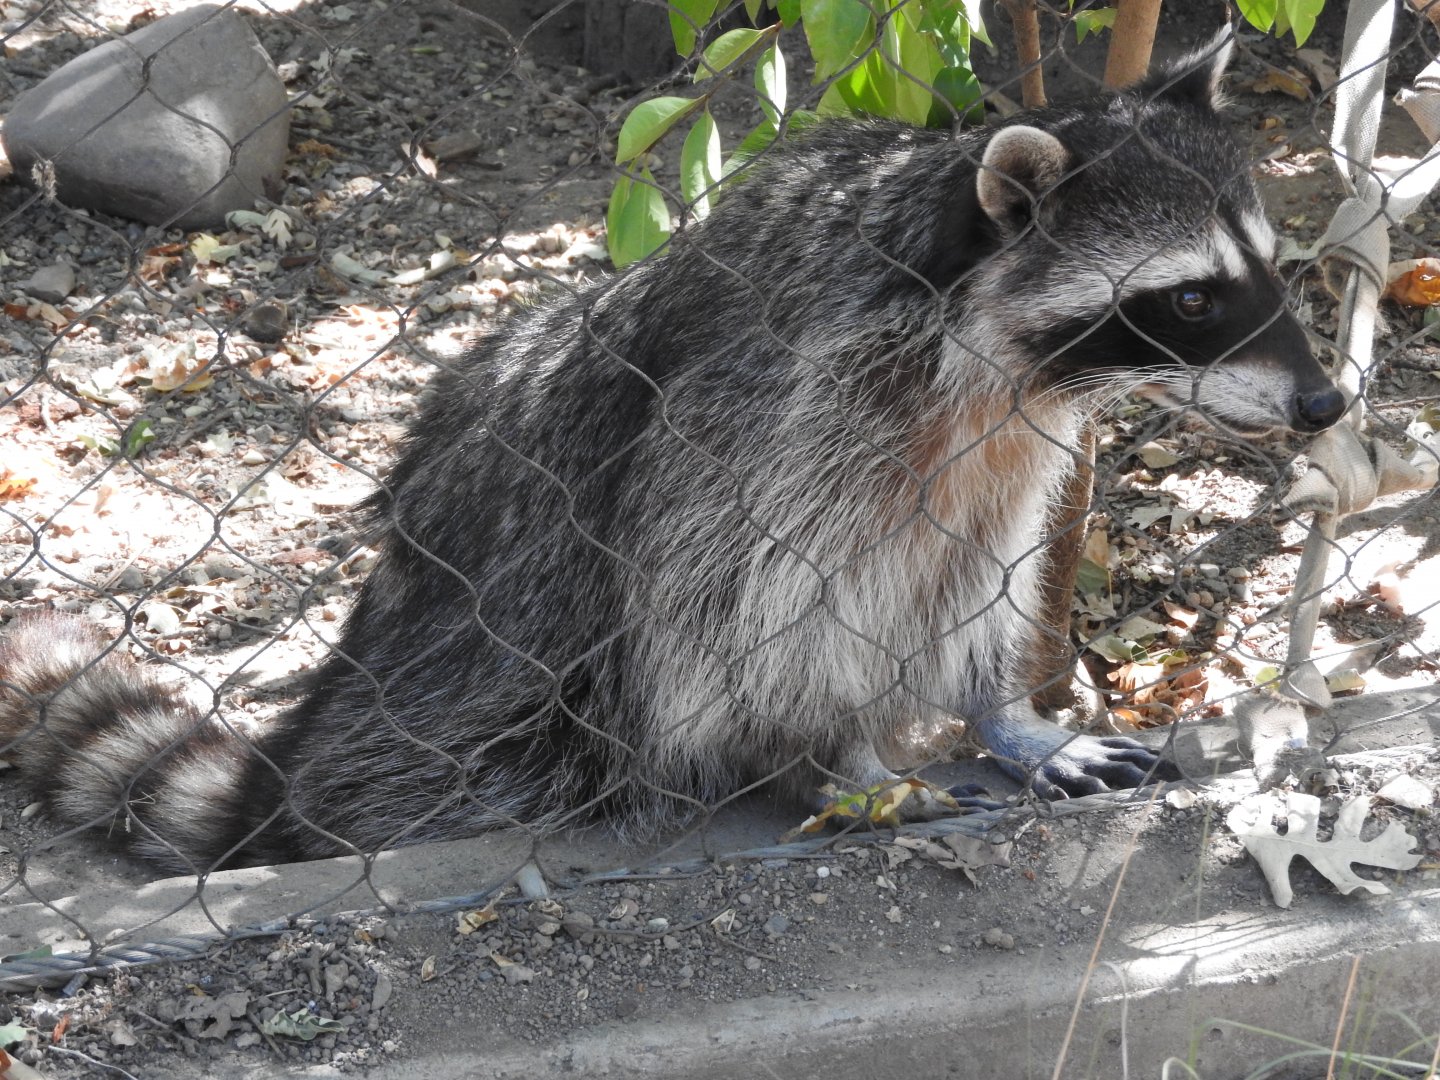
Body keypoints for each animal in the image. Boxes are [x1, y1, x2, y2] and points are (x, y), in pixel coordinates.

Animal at [0, 31, 1343, 872]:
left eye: (1269, 269)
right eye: (1190, 299)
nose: (1328, 402)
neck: (1001, 371)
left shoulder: (1008, 452)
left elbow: (978, 577)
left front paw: (1003, 712)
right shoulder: (771, 419)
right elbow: (736, 615)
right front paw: (834, 755)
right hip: (490, 683)